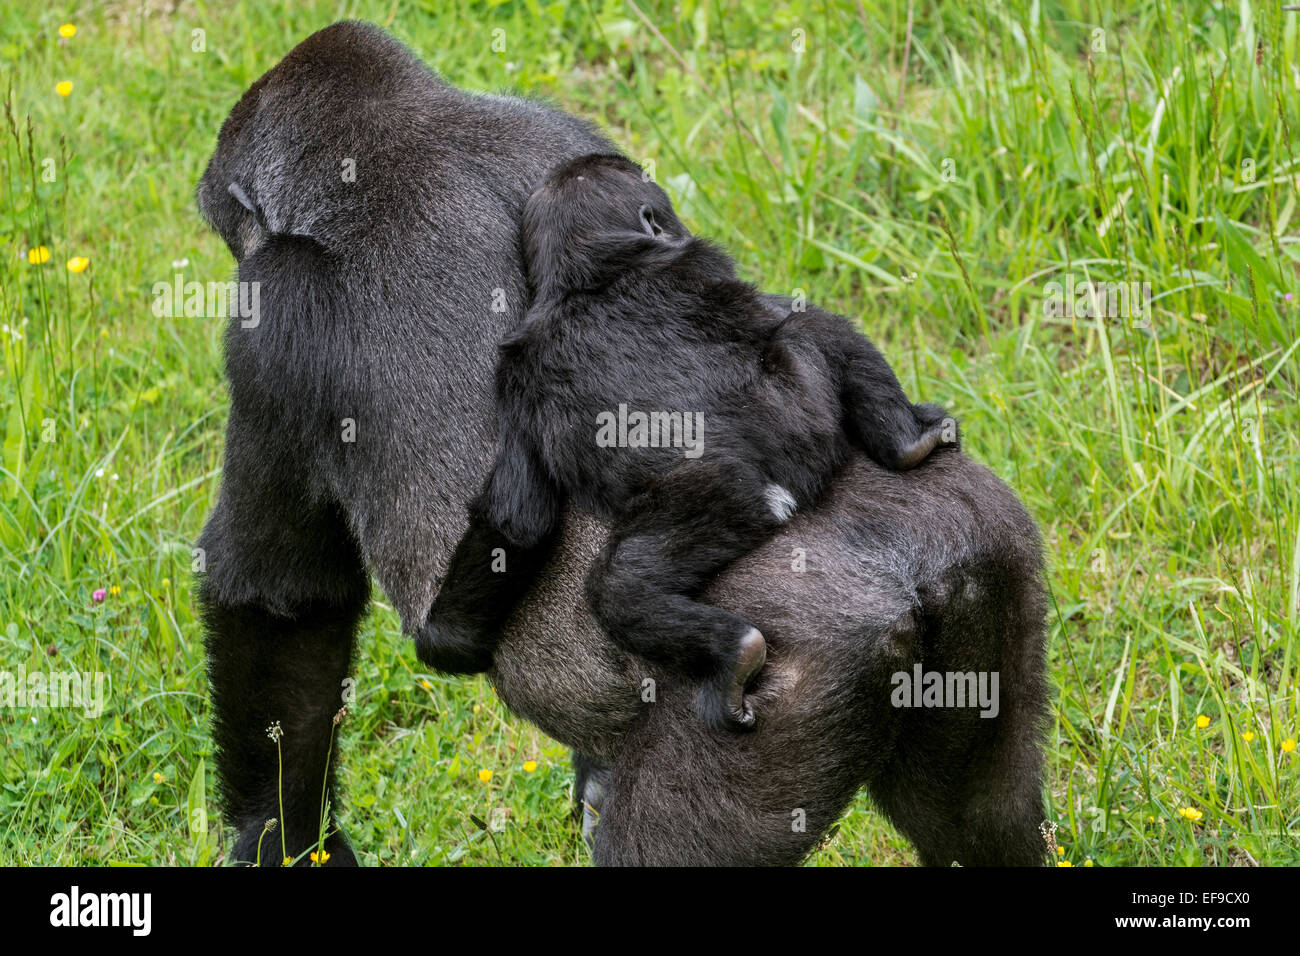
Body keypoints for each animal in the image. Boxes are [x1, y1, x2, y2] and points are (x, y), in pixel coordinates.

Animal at [415, 153, 956, 731]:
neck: (587, 274)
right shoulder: (705, 264)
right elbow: (782, 313)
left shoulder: (514, 373)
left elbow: (515, 519)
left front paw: (446, 636)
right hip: (725, 485)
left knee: (625, 588)